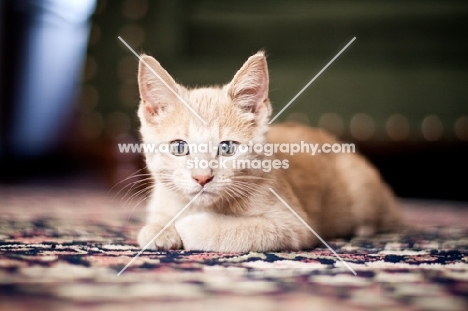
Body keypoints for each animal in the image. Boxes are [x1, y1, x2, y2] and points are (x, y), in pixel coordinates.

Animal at [136, 51, 402, 254]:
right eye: (179, 147)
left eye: (227, 147)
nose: (202, 178)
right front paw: (157, 228)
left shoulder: (294, 226)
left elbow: (239, 230)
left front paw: (188, 225)